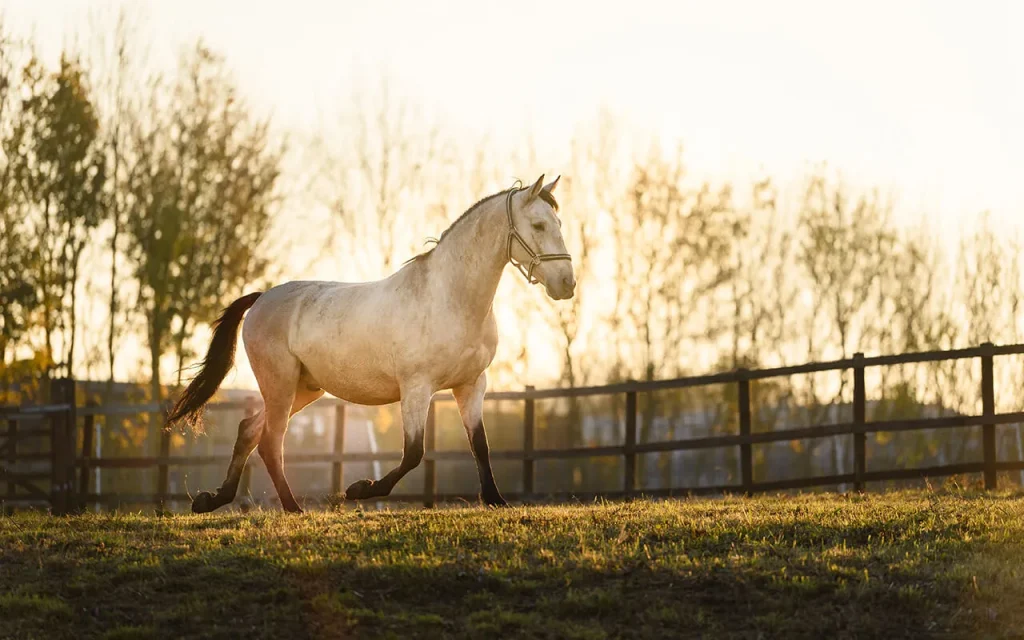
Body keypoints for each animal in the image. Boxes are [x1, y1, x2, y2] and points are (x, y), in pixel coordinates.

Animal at [166, 174, 575, 513]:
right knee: (269, 441)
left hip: (303, 389)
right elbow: (413, 453)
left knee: (249, 431)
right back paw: (292, 508)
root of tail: (262, 297)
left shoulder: (471, 385)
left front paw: (494, 499)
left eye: (559, 224)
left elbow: (480, 445)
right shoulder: (417, 387)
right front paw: (360, 489)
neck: (450, 298)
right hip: (279, 385)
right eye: (539, 225)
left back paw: (213, 500)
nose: (566, 284)